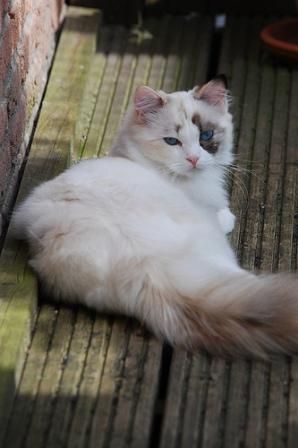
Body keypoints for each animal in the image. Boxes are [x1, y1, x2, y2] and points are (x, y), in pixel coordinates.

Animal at [12, 76, 298, 356]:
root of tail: (143, 266)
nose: (194, 159)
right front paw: (228, 216)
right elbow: (222, 215)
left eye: (206, 135)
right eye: (172, 142)